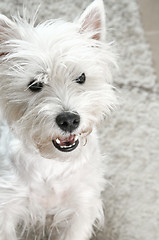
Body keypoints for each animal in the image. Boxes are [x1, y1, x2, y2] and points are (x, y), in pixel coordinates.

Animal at [0, 0, 117, 239]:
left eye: (81, 77)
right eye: (35, 84)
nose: (69, 120)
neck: (52, 164)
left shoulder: (82, 205)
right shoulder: (7, 204)